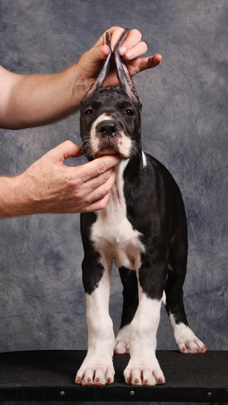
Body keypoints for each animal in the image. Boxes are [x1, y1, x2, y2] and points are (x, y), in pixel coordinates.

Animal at [75, 29, 207, 386]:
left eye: (129, 111)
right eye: (89, 111)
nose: (108, 127)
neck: (118, 189)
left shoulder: (153, 264)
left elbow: (147, 320)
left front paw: (144, 366)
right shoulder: (94, 262)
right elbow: (98, 319)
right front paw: (97, 365)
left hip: (178, 255)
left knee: (173, 295)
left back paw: (187, 338)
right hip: (125, 263)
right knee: (131, 298)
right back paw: (122, 339)